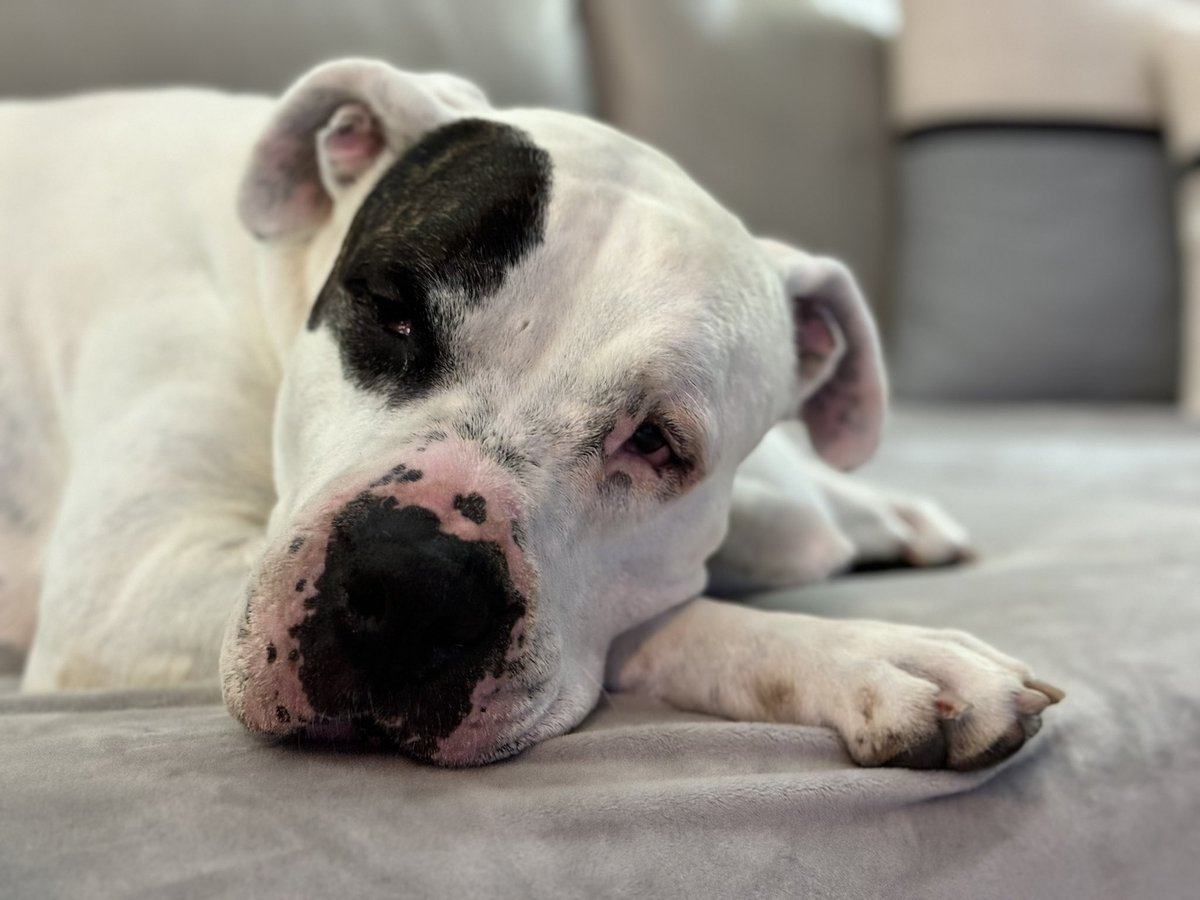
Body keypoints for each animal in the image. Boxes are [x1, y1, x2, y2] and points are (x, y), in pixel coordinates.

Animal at [0, 61, 1065, 768]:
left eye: (656, 441)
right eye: (389, 311)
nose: (413, 586)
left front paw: (861, 526)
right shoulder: (126, 591)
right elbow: (670, 615)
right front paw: (858, 651)